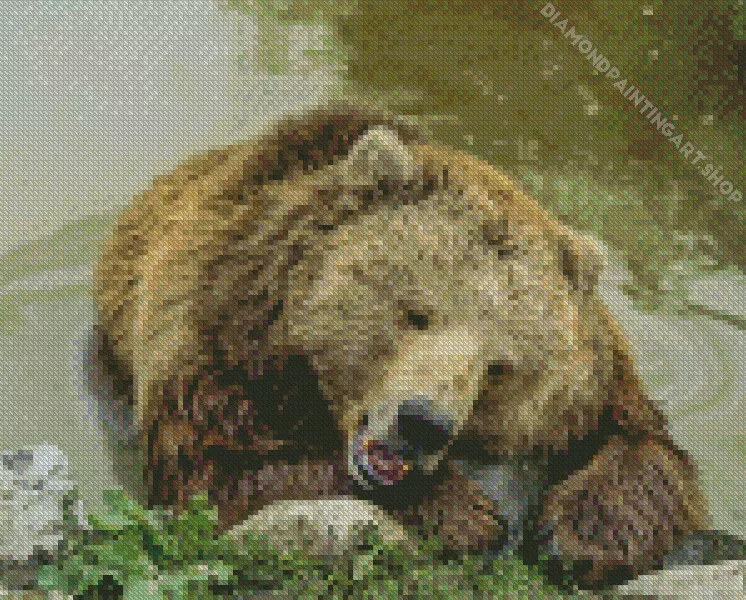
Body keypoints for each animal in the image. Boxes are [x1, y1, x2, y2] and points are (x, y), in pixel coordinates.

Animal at [93, 102, 710, 589]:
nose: (423, 423)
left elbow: (647, 444)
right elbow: (219, 467)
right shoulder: (210, 336)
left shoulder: (589, 383)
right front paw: (466, 514)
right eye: (416, 313)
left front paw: (577, 536)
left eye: (499, 366)